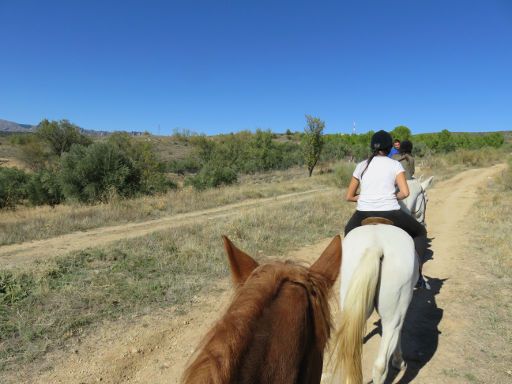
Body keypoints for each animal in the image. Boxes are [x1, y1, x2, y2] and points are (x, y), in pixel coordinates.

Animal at [334, 176, 434, 382]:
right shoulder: (401, 308)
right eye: (426, 199)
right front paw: (399, 361)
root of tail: (375, 246)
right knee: (380, 366)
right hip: (393, 312)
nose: (424, 222)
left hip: (348, 300)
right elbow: (399, 332)